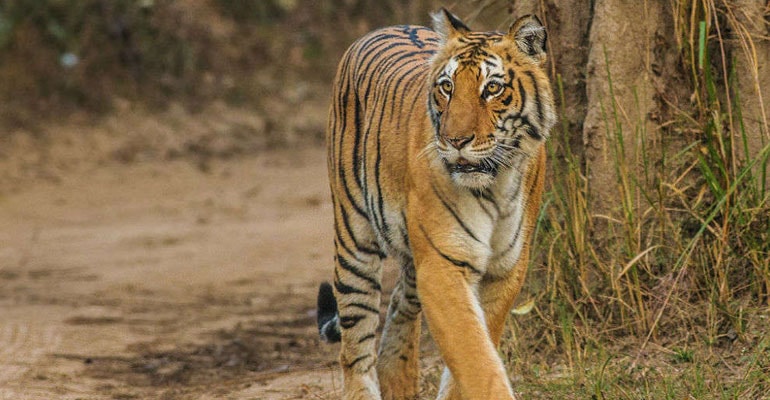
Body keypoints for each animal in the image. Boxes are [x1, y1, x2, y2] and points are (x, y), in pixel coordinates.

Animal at [316, 7, 555, 400]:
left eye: (492, 88)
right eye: (447, 87)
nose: (456, 140)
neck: (496, 184)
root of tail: (384, 27)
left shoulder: (505, 269)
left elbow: (475, 351)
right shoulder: (443, 265)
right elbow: (475, 357)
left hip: (413, 259)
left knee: (398, 308)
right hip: (355, 240)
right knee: (355, 349)